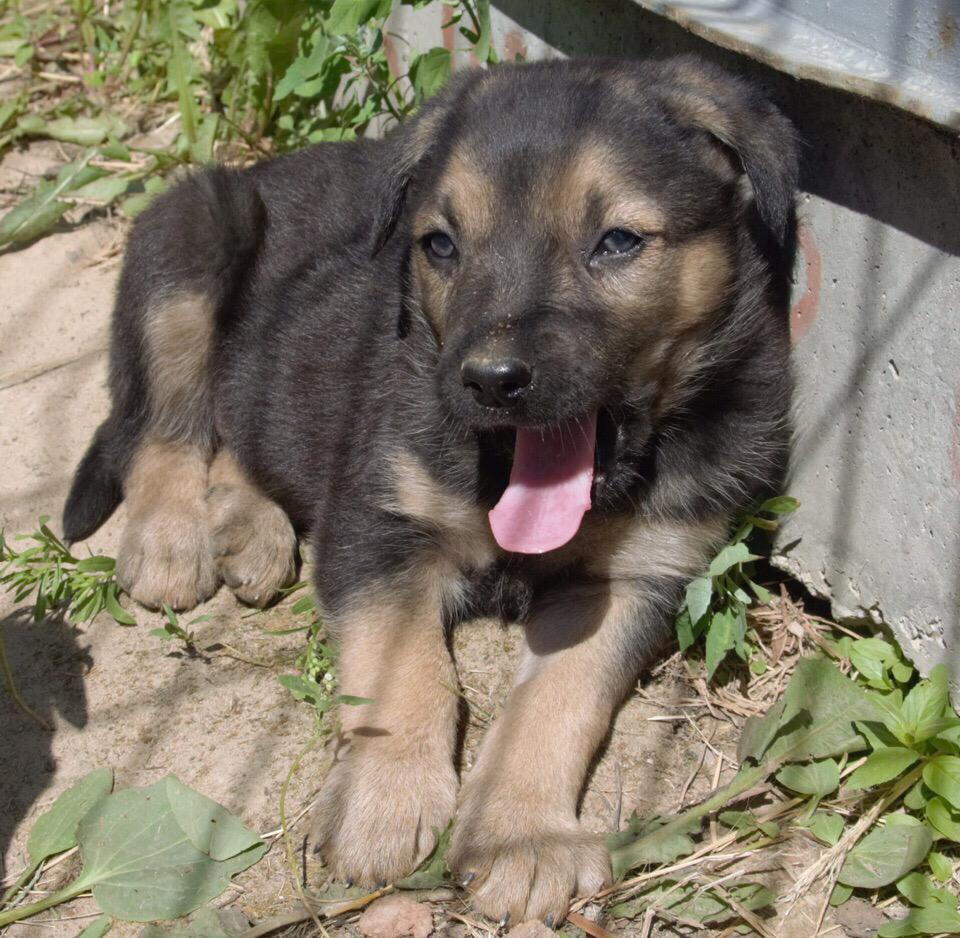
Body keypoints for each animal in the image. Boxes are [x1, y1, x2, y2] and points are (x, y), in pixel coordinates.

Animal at [63, 56, 800, 920]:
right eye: (441, 245)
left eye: (618, 241)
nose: (488, 381)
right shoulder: (380, 520)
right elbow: (405, 669)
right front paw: (384, 803)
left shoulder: (638, 573)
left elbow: (559, 700)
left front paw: (523, 836)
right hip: (190, 244)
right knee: (165, 427)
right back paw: (172, 538)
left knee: (240, 426)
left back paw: (249, 526)